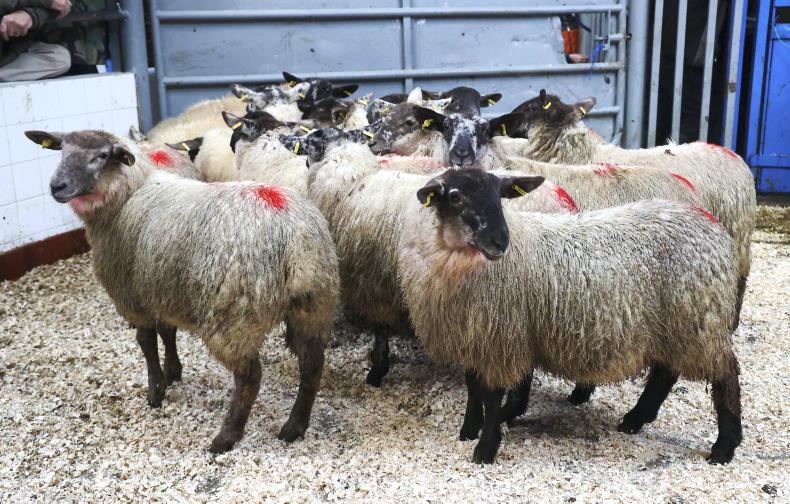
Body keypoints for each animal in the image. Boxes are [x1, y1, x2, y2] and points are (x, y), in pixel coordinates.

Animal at [25, 129, 340, 453]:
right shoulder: (161, 288)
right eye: (62, 150)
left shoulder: (132, 296)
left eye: (100, 156)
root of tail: (296, 237)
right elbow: (168, 332)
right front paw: (173, 371)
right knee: (312, 364)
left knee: (250, 376)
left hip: (235, 315)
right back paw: (294, 426)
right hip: (313, 304)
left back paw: (226, 437)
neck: (127, 194)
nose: (57, 186)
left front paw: (155, 391)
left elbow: (146, 342)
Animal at [398, 168, 742, 465]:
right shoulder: (474, 334)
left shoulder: (500, 337)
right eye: (455, 196)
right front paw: (469, 430)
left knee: (725, 374)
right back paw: (635, 420)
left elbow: (491, 395)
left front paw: (485, 448)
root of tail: (712, 224)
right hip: (674, 324)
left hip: (698, 318)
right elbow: (473, 387)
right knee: (665, 373)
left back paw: (724, 447)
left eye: (499, 195)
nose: (500, 242)